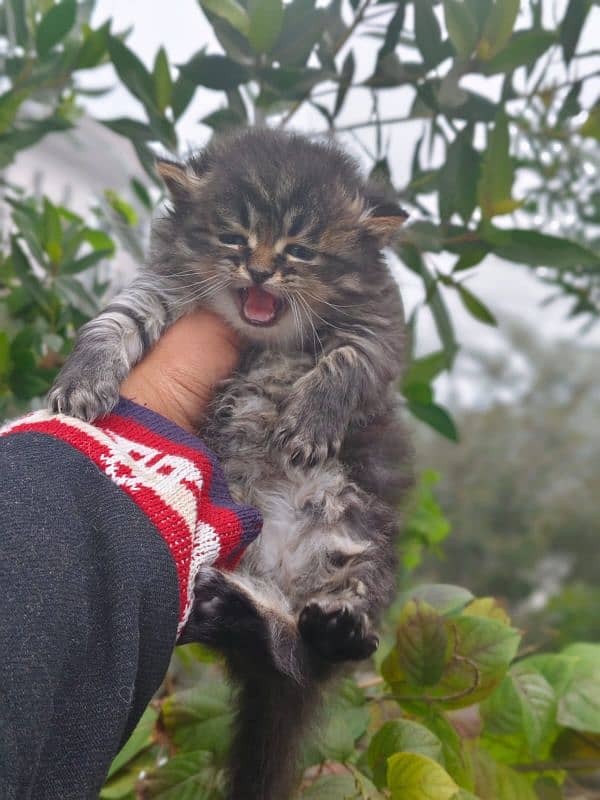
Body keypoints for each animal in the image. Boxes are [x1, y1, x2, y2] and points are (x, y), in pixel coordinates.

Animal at [48, 128, 412, 796]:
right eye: (234, 239)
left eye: (300, 250)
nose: (261, 269)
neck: (265, 338)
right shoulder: (161, 287)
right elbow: (113, 322)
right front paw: (84, 378)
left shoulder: (379, 329)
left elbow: (346, 364)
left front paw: (312, 418)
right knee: (270, 647)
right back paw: (224, 610)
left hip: (363, 538)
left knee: (311, 655)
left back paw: (334, 628)